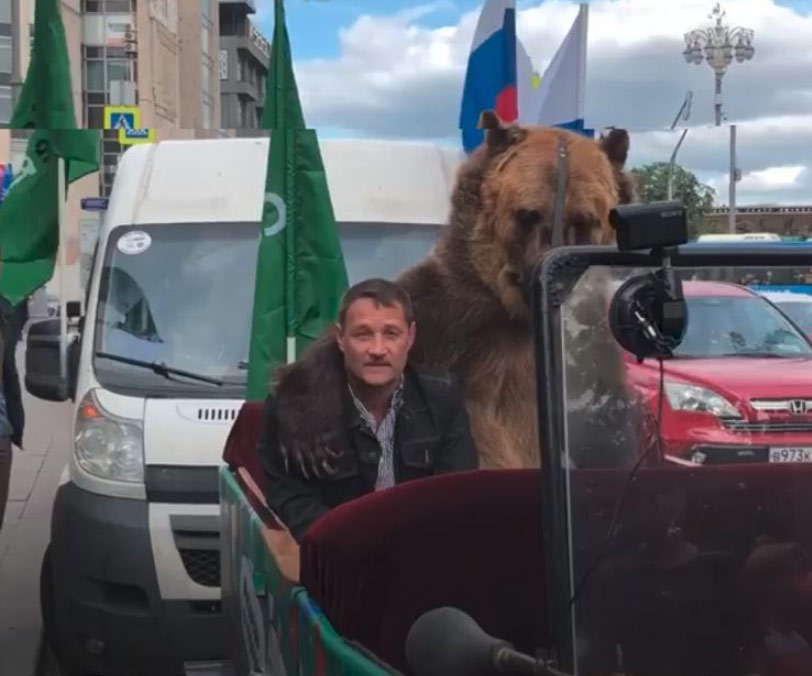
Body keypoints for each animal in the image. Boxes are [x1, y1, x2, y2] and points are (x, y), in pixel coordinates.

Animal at [270, 112, 632, 470]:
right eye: (528, 214)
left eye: (584, 220)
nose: (545, 271)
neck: (519, 317)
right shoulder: (449, 319)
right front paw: (309, 437)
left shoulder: (590, 353)